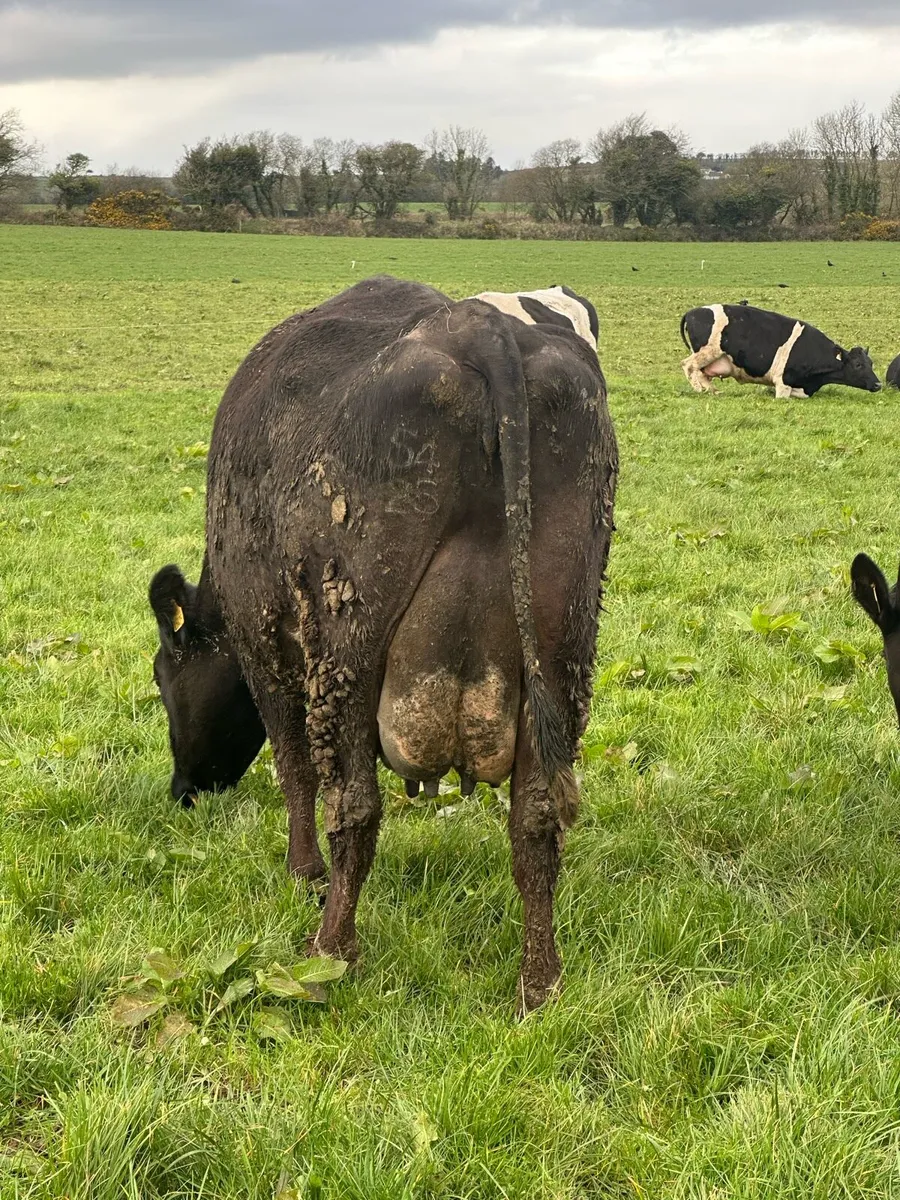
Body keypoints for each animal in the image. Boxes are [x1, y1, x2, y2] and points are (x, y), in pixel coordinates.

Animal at [148, 275, 617, 1013]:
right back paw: (540, 985)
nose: (183, 791)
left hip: (350, 647)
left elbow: (294, 767)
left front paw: (301, 872)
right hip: (563, 644)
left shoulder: (265, 646)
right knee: (538, 820)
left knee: (354, 806)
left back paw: (329, 953)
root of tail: (477, 329)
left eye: (163, 679)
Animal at [680, 303, 880, 399]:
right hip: (708, 352)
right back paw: (700, 391)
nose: (878, 384)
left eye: (871, 364)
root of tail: (692, 311)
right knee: (689, 366)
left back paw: (714, 391)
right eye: (858, 364)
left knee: (702, 374)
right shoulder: (782, 383)